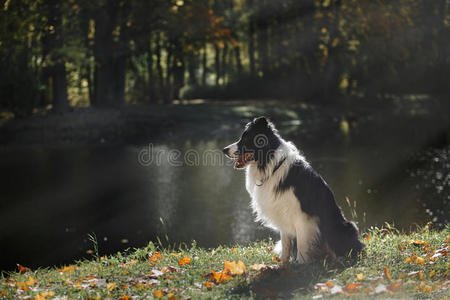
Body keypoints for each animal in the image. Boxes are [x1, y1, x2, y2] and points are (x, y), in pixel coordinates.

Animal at [223, 117, 364, 262]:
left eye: (246, 138)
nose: (224, 150)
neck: (272, 165)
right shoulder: (282, 211)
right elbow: (286, 243)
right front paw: (283, 262)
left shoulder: (302, 216)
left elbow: (301, 243)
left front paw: (301, 264)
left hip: (344, 226)